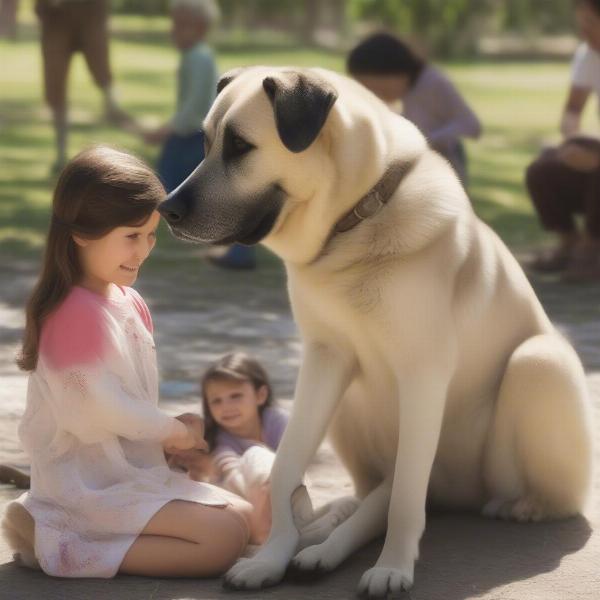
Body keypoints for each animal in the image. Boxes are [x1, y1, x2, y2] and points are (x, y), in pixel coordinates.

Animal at [157, 67, 592, 596]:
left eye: (240, 146)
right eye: (205, 143)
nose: (165, 209)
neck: (356, 223)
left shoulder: (423, 373)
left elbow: (405, 493)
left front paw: (393, 567)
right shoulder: (324, 359)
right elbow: (286, 467)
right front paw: (272, 556)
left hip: (539, 363)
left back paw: (525, 506)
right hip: (349, 402)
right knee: (369, 498)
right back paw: (320, 541)